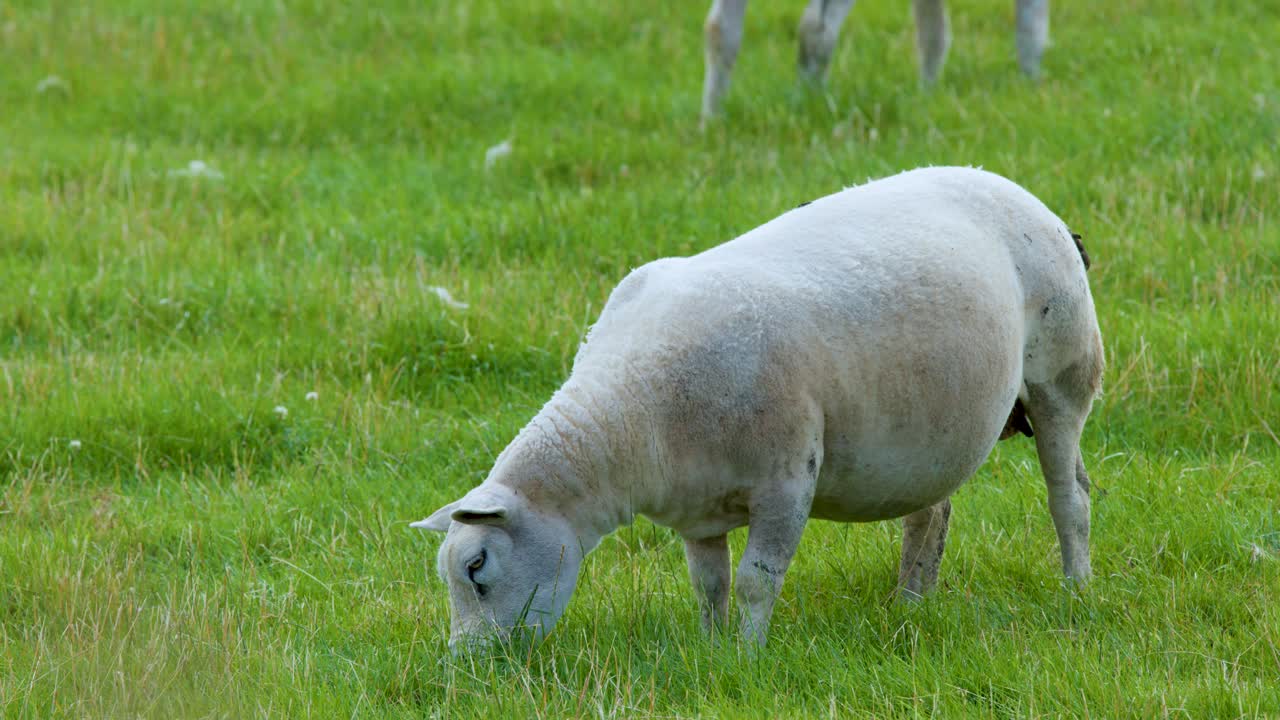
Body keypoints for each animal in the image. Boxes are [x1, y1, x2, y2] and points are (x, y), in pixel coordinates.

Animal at [413, 166, 1103, 649]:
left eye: (476, 566)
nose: (467, 666)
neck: (629, 413)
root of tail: (1028, 198)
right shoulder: (696, 510)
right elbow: (709, 585)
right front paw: (710, 649)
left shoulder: (786, 481)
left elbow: (755, 580)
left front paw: (749, 656)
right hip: (936, 428)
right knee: (930, 515)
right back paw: (911, 605)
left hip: (1063, 376)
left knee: (1069, 497)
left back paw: (1076, 589)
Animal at [702, 0, 1051, 123]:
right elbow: (1031, 23)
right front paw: (1032, 87)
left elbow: (931, 28)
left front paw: (928, 95)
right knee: (816, 26)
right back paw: (809, 102)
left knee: (720, 28)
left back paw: (712, 121)